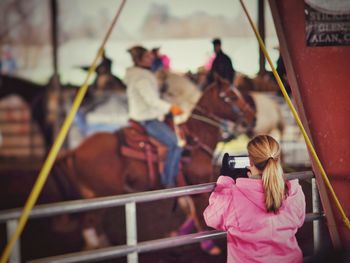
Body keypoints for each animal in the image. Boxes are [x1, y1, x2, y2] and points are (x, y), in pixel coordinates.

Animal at [52, 78, 254, 254]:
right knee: (91, 221)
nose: (251, 117)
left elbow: (191, 212)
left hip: (93, 193)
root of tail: (76, 150)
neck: (195, 140)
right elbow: (199, 213)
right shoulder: (198, 184)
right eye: (231, 96)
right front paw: (208, 245)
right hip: (103, 192)